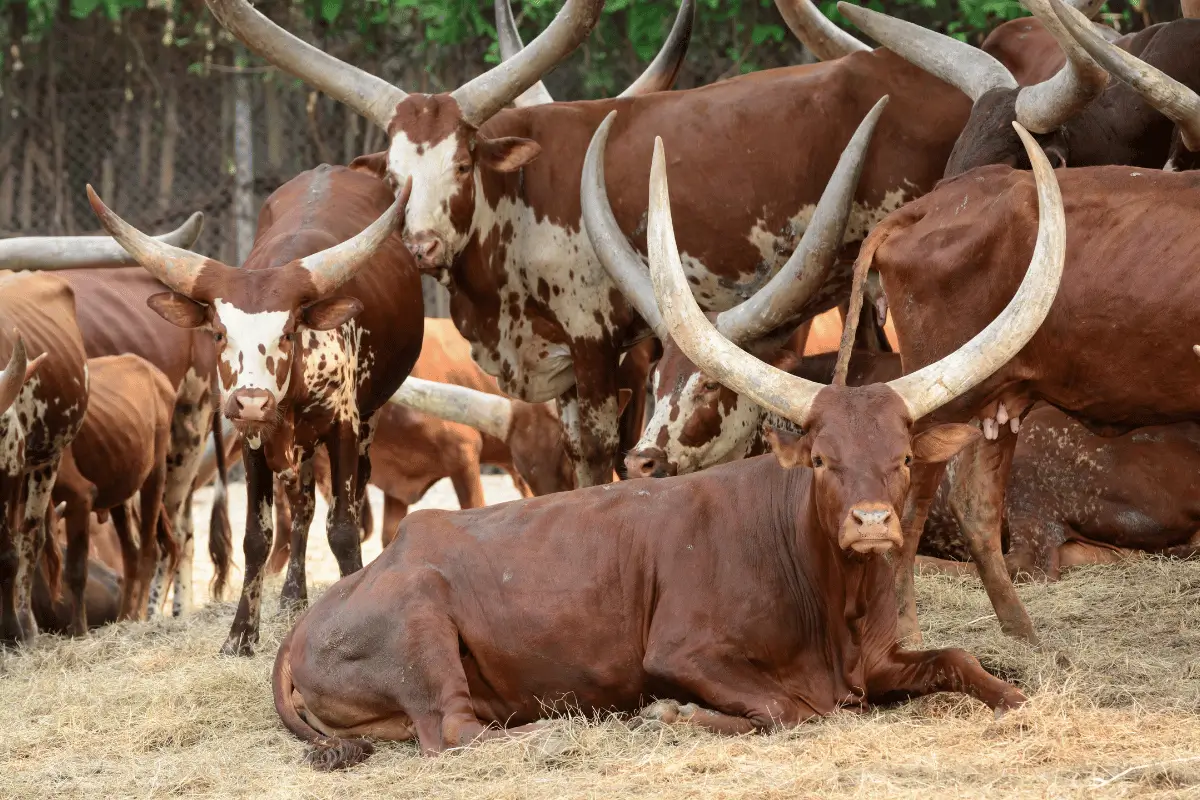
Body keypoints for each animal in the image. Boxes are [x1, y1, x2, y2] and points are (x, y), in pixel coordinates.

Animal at [51, 352, 175, 628]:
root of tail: (156, 374)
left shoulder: (80, 497)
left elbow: (75, 570)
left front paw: (79, 629)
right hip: (120, 493)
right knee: (131, 555)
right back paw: (123, 618)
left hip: (155, 475)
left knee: (149, 552)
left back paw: (138, 616)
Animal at [85, 164, 422, 657]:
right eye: (219, 332)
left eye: (288, 332)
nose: (251, 401)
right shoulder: (253, 442)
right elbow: (257, 538)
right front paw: (241, 634)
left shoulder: (343, 425)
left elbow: (343, 528)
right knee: (302, 507)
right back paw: (292, 598)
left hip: (370, 418)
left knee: (352, 498)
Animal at [265, 120, 1070, 767]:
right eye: (820, 460)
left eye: (902, 458)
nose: (871, 524)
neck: (827, 591)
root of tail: (304, 627)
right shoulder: (684, 651)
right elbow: (790, 708)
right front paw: (674, 713)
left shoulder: (878, 662)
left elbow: (965, 661)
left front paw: (1020, 690)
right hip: (423, 630)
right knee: (456, 733)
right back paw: (561, 727)